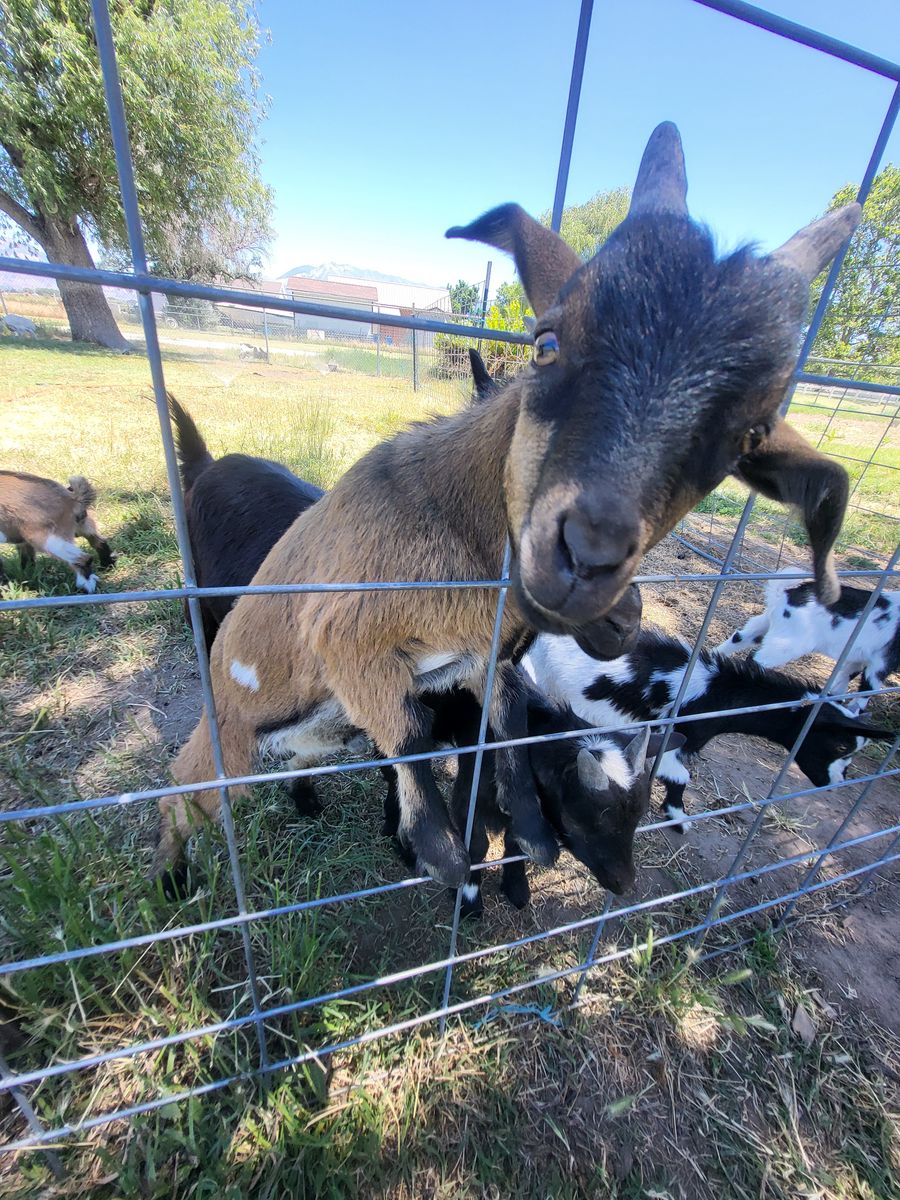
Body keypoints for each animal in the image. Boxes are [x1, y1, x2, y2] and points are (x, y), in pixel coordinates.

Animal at [380, 685, 684, 917]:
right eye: (575, 821)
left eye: (637, 818)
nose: (624, 883)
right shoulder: (468, 798)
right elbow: (476, 846)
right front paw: (468, 900)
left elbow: (516, 844)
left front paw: (516, 888)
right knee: (394, 771)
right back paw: (400, 837)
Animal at [525, 629, 893, 830]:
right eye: (841, 746)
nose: (835, 783)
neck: (719, 692)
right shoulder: (674, 733)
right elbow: (679, 776)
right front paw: (677, 816)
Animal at [714, 573, 899, 708]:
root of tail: (786, 594)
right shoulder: (882, 662)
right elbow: (867, 689)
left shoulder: (858, 657)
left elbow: (846, 676)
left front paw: (834, 700)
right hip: (790, 642)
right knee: (755, 659)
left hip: (766, 623)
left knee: (740, 637)